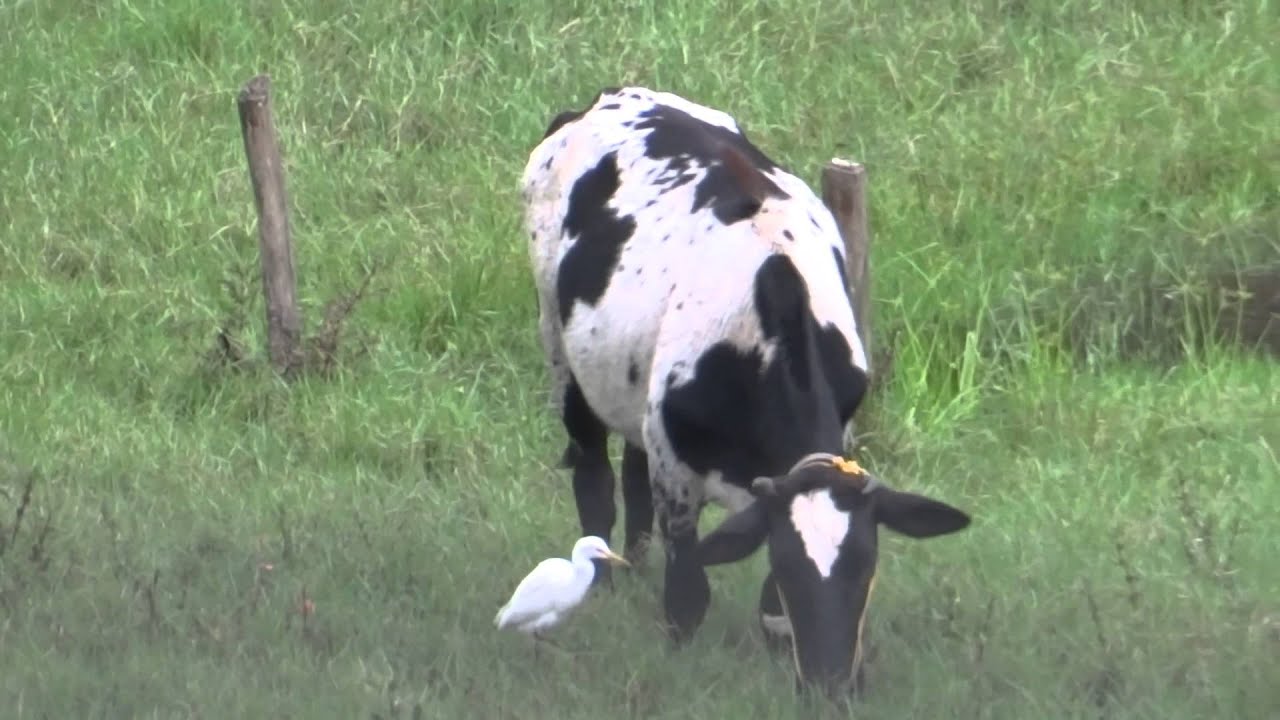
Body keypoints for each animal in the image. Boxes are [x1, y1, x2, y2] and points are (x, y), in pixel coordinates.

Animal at [521, 86, 972, 695]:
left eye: (867, 568)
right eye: (790, 567)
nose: (832, 682)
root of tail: (605, 98)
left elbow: (769, 611)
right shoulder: (676, 469)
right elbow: (688, 595)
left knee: (631, 469)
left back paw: (633, 564)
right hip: (557, 340)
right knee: (593, 473)